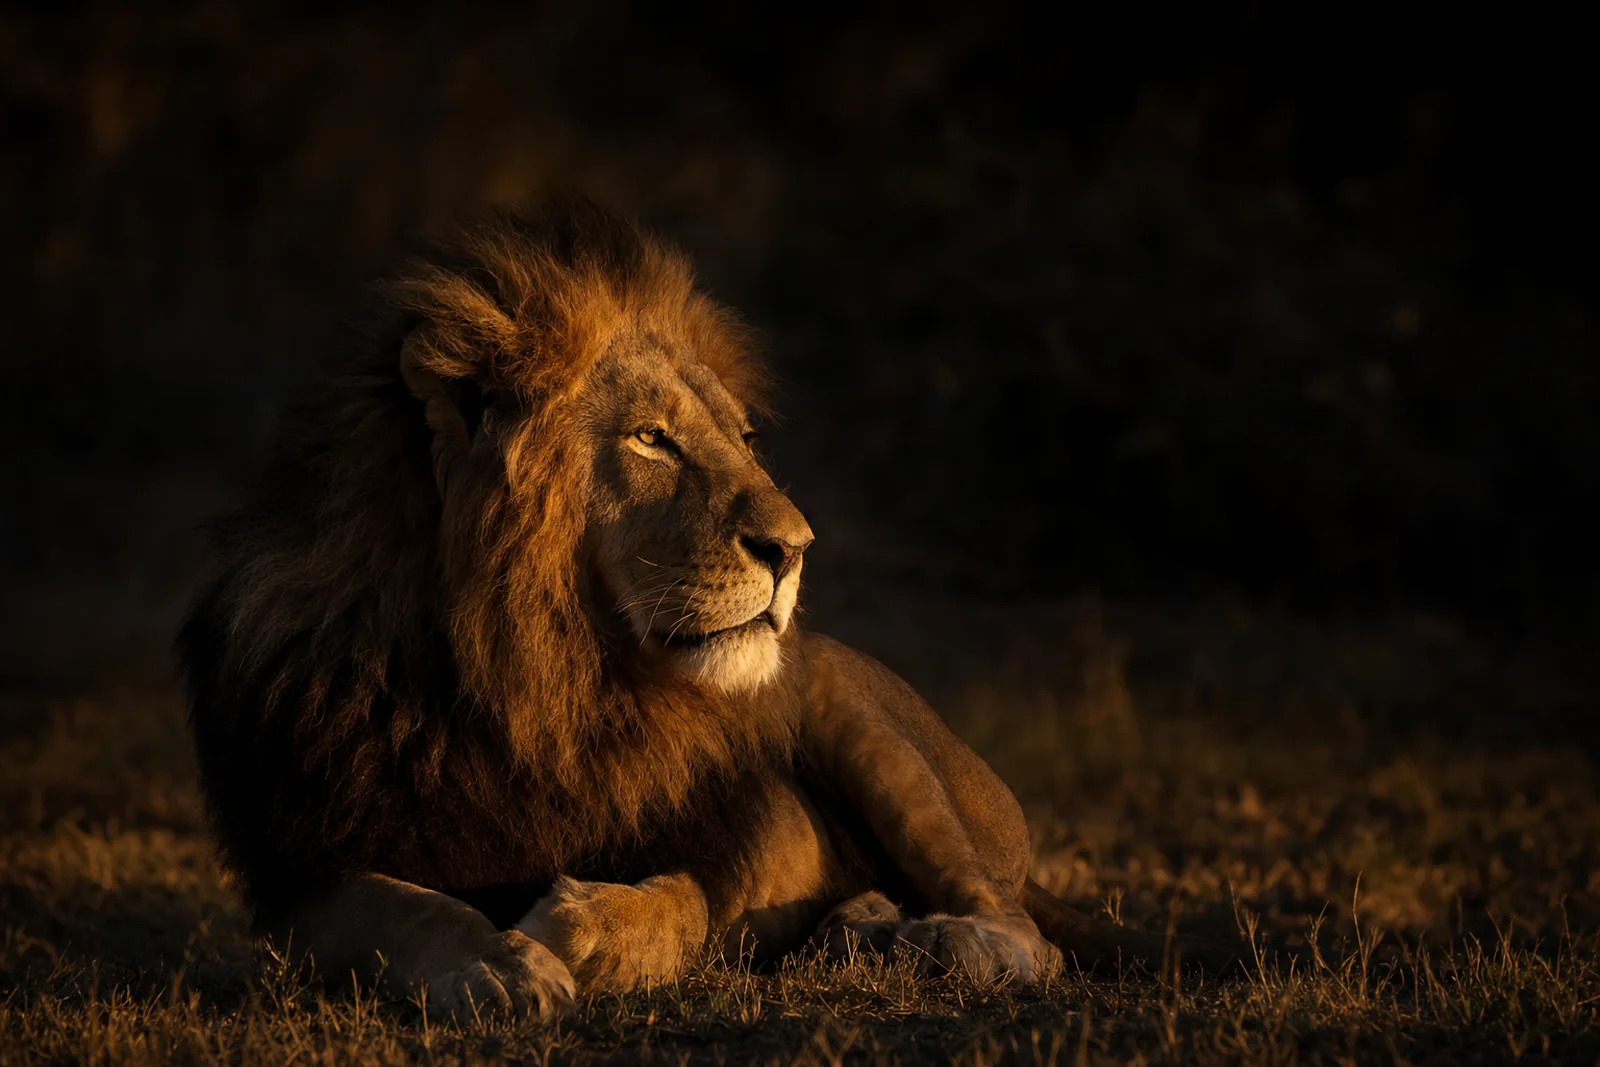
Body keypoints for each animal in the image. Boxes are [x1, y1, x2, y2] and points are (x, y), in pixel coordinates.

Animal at [179, 198, 1235, 1021]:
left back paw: (931, 942)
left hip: (868, 730)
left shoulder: (716, 841)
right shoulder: (310, 862)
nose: (796, 547)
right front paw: (497, 963)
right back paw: (859, 928)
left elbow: (673, 902)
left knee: (1021, 929)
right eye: (652, 438)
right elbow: (405, 906)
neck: (539, 682)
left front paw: (574, 929)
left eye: (742, 438)